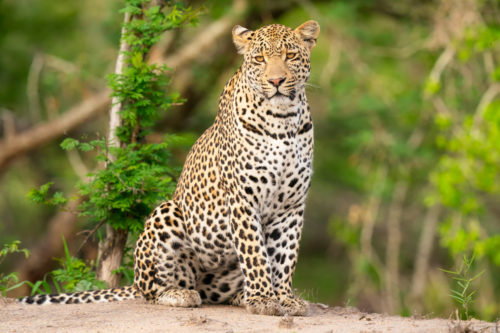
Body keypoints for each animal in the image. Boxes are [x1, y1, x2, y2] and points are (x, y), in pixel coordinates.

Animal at [19, 19, 320, 316]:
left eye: (290, 56)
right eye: (259, 59)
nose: (276, 81)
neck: (282, 120)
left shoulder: (291, 206)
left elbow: (284, 256)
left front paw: (284, 298)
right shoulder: (242, 200)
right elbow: (255, 253)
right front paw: (263, 299)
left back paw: (240, 296)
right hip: (166, 214)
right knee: (155, 290)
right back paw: (181, 294)